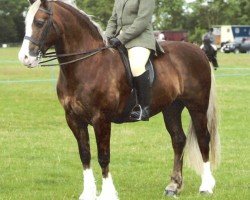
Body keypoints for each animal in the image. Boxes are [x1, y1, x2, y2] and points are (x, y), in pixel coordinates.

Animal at [18, 0, 221, 199]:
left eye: (40, 22)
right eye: (25, 22)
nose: (25, 58)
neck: (87, 65)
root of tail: (197, 51)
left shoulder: (101, 119)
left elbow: (103, 156)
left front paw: (107, 194)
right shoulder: (74, 119)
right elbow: (85, 155)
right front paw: (88, 193)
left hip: (197, 107)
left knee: (203, 139)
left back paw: (206, 186)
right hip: (171, 108)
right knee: (178, 140)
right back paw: (173, 186)